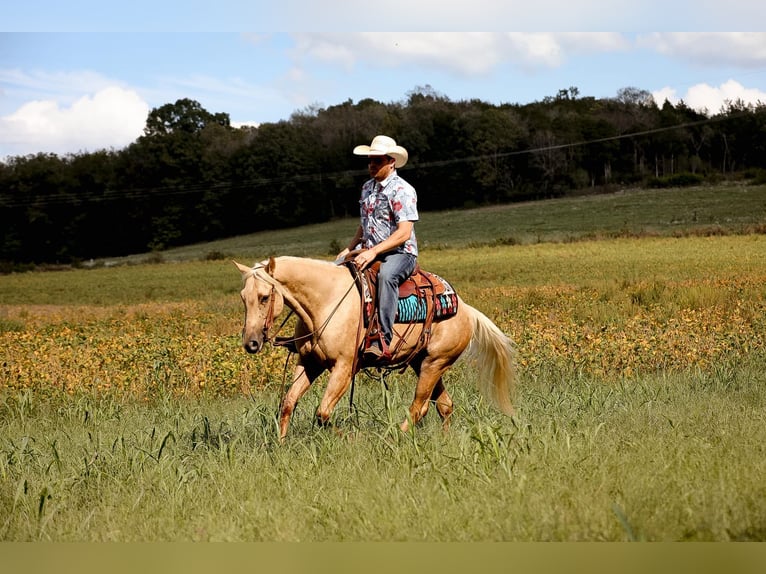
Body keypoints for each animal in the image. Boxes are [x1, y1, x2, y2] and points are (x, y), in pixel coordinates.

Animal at [234, 256, 516, 439]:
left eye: (264, 297)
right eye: (243, 298)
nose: (251, 343)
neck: (326, 302)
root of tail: (465, 309)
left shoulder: (344, 368)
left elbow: (323, 412)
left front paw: (349, 438)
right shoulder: (309, 363)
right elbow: (288, 403)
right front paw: (280, 445)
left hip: (435, 363)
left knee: (419, 406)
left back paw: (395, 437)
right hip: (424, 362)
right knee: (443, 406)